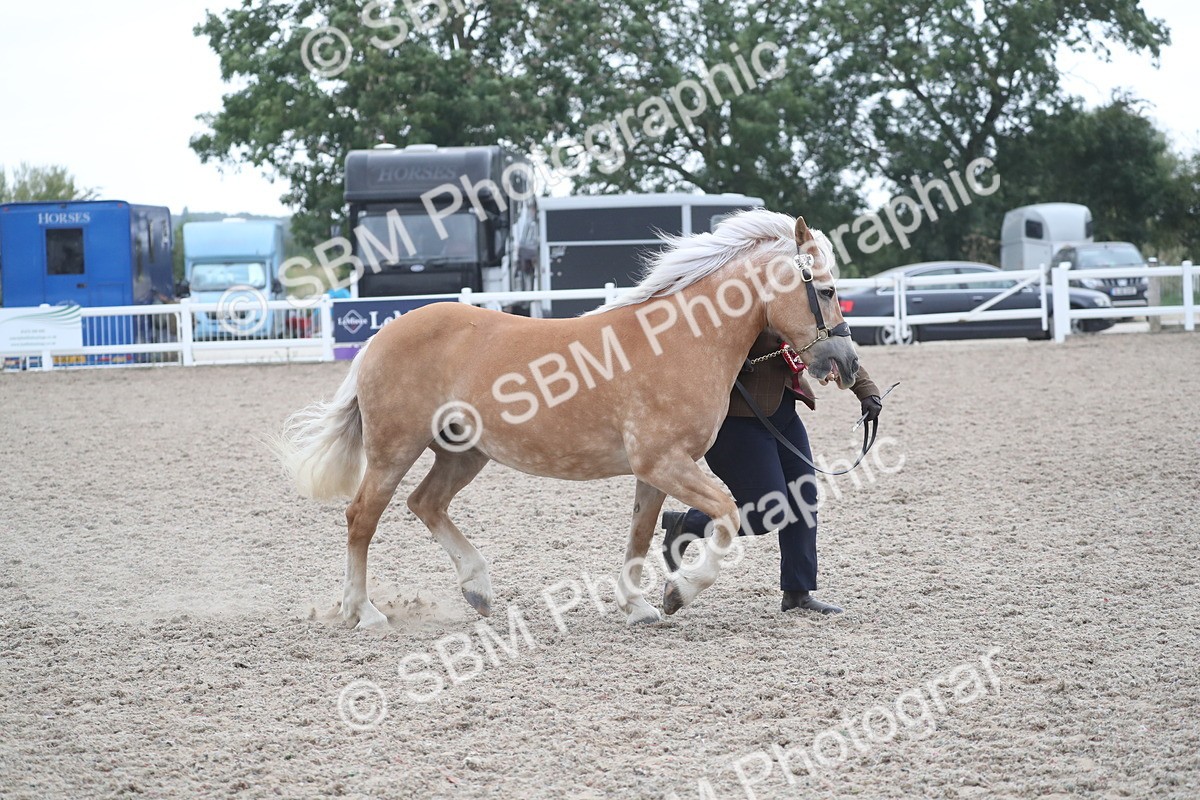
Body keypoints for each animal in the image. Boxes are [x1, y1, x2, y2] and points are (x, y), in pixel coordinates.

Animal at [274, 210, 860, 629]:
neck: (679, 341)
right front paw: (677, 593)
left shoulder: (655, 472)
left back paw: (477, 589)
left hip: (464, 453)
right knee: (362, 518)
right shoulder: (665, 462)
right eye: (826, 290)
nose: (847, 364)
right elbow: (727, 514)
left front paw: (638, 606)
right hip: (395, 449)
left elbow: (641, 533)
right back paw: (364, 613)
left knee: (426, 503)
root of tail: (381, 337)